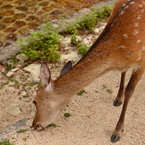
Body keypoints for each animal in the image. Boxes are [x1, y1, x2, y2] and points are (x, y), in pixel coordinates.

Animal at [32, 0, 145, 143]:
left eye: (34, 101)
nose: (34, 124)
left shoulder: (142, 60)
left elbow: (129, 92)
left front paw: (117, 132)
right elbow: (123, 71)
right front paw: (118, 98)